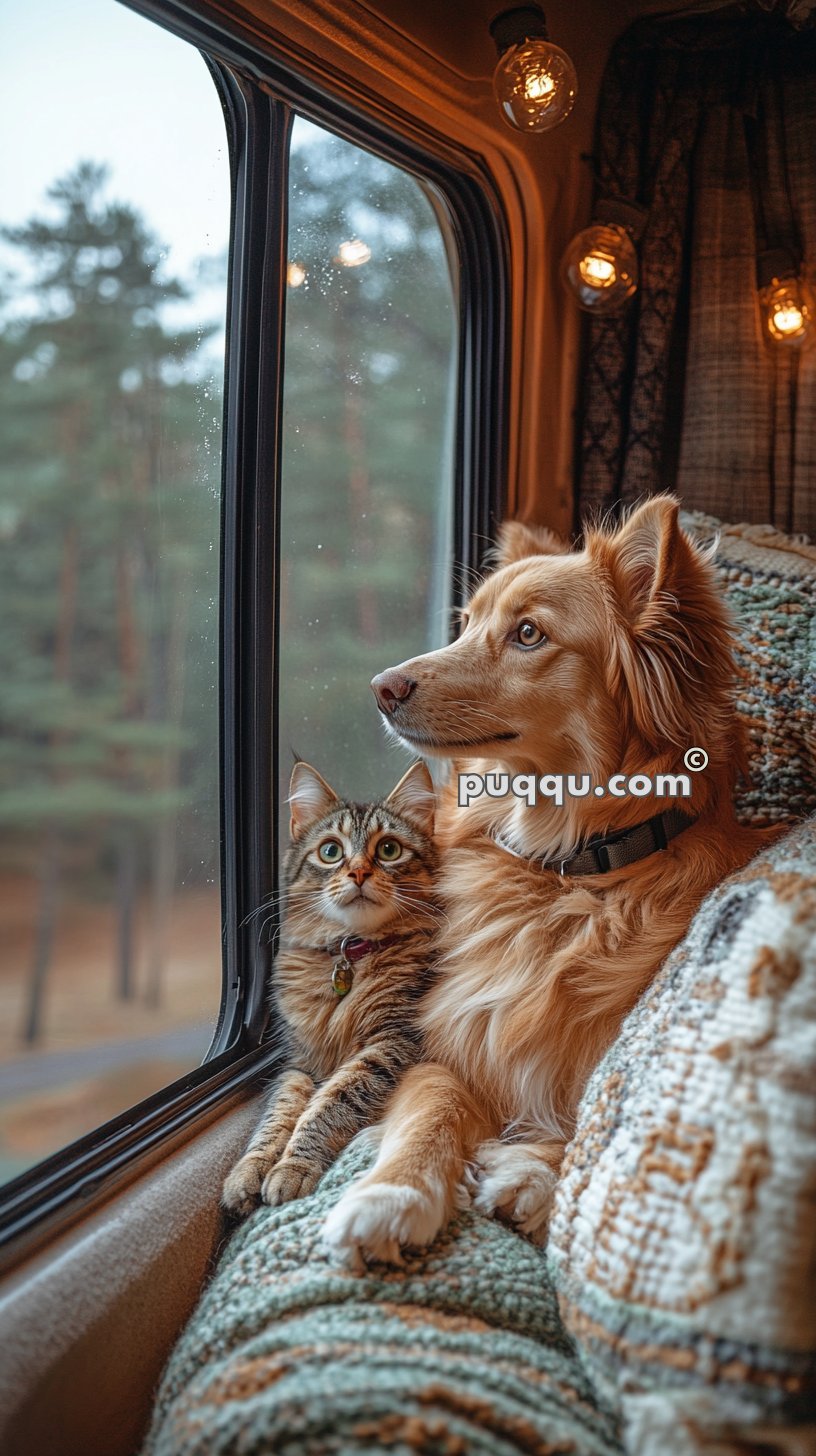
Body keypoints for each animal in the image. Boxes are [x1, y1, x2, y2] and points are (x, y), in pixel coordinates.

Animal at [221, 757, 440, 1211]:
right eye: (330, 851)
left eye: (388, 850)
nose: (357, 872)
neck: (350, 954)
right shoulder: (299, 1062)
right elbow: (278, 1115)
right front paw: (251, 1169)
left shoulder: (391, 1043)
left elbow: (331, 1103)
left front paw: (293, 1166)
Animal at [323, 495, 769, 1269]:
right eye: (467, 623)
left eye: (528, 633)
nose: (382, 688)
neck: (565, 873)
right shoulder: (448, 1046)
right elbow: (432, 1109)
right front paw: (392, 1196)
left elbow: (582, 1124)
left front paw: (530, 1175)